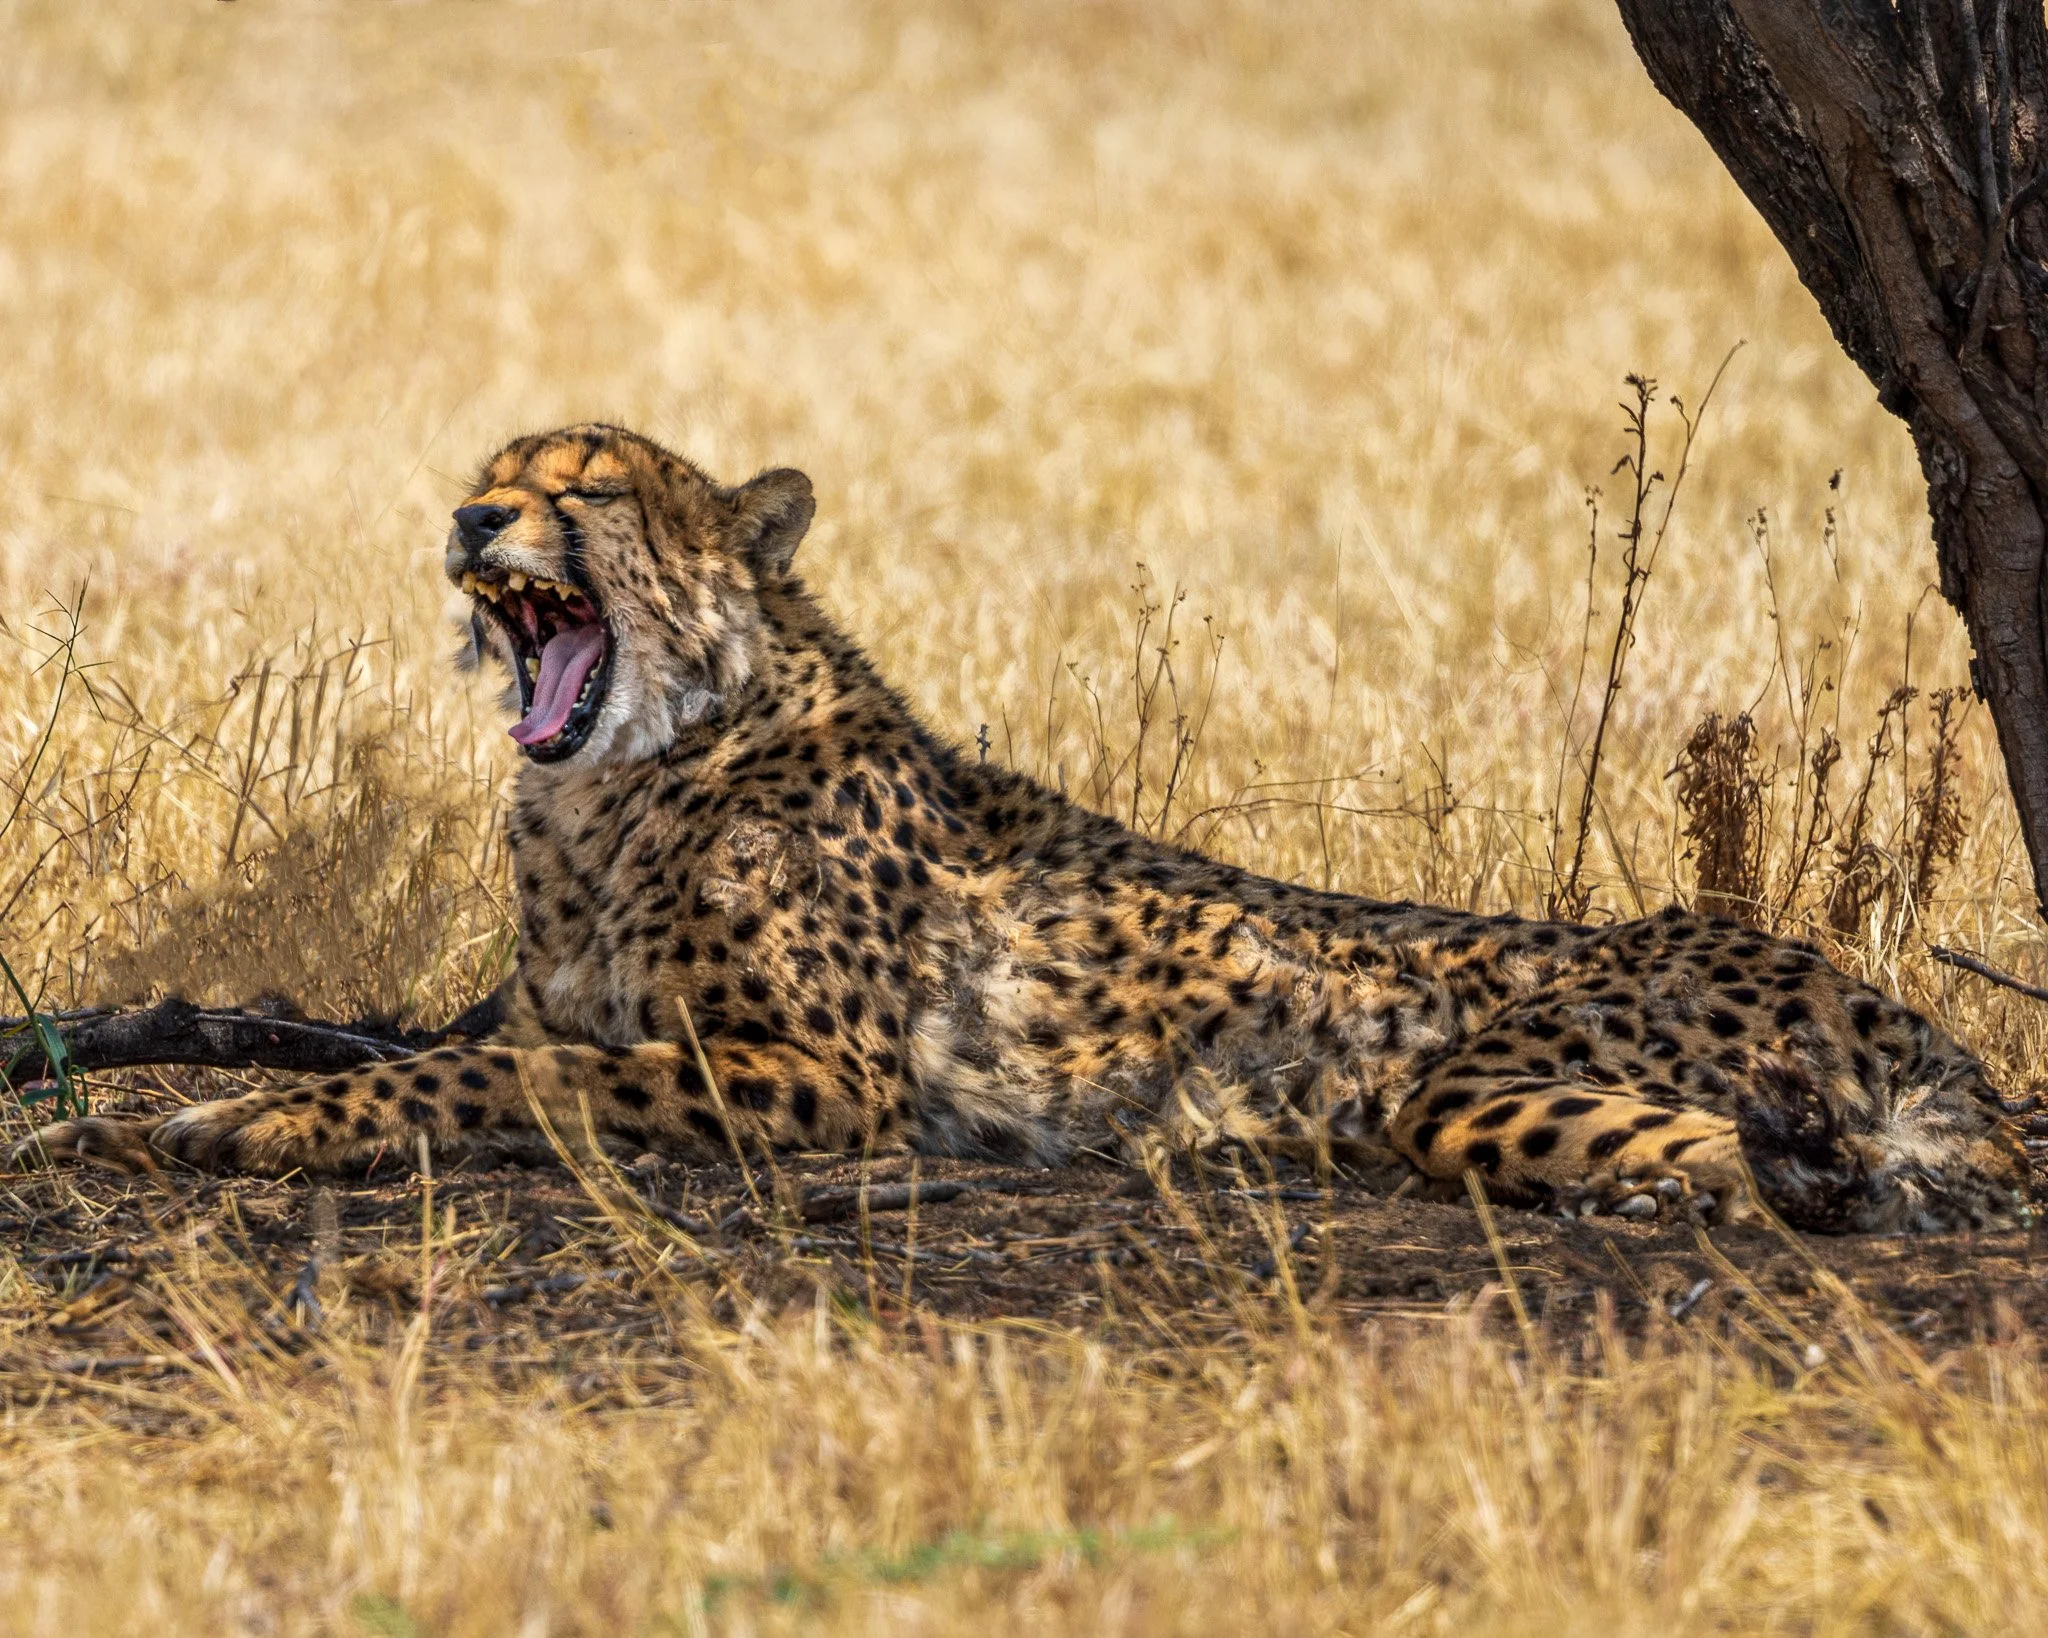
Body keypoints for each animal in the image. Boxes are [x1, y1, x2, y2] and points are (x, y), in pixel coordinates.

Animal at [16, 423, 2035, 1233]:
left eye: (583, 490)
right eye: (494, 478)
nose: (466, 521)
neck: (621, 776)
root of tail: (1862, 985)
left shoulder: (808, 1074)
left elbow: (488, 1076)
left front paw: (257, 1123)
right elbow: (439, 1044)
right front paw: (189, 1093)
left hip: (1470, 1076)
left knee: (1820, 1162)